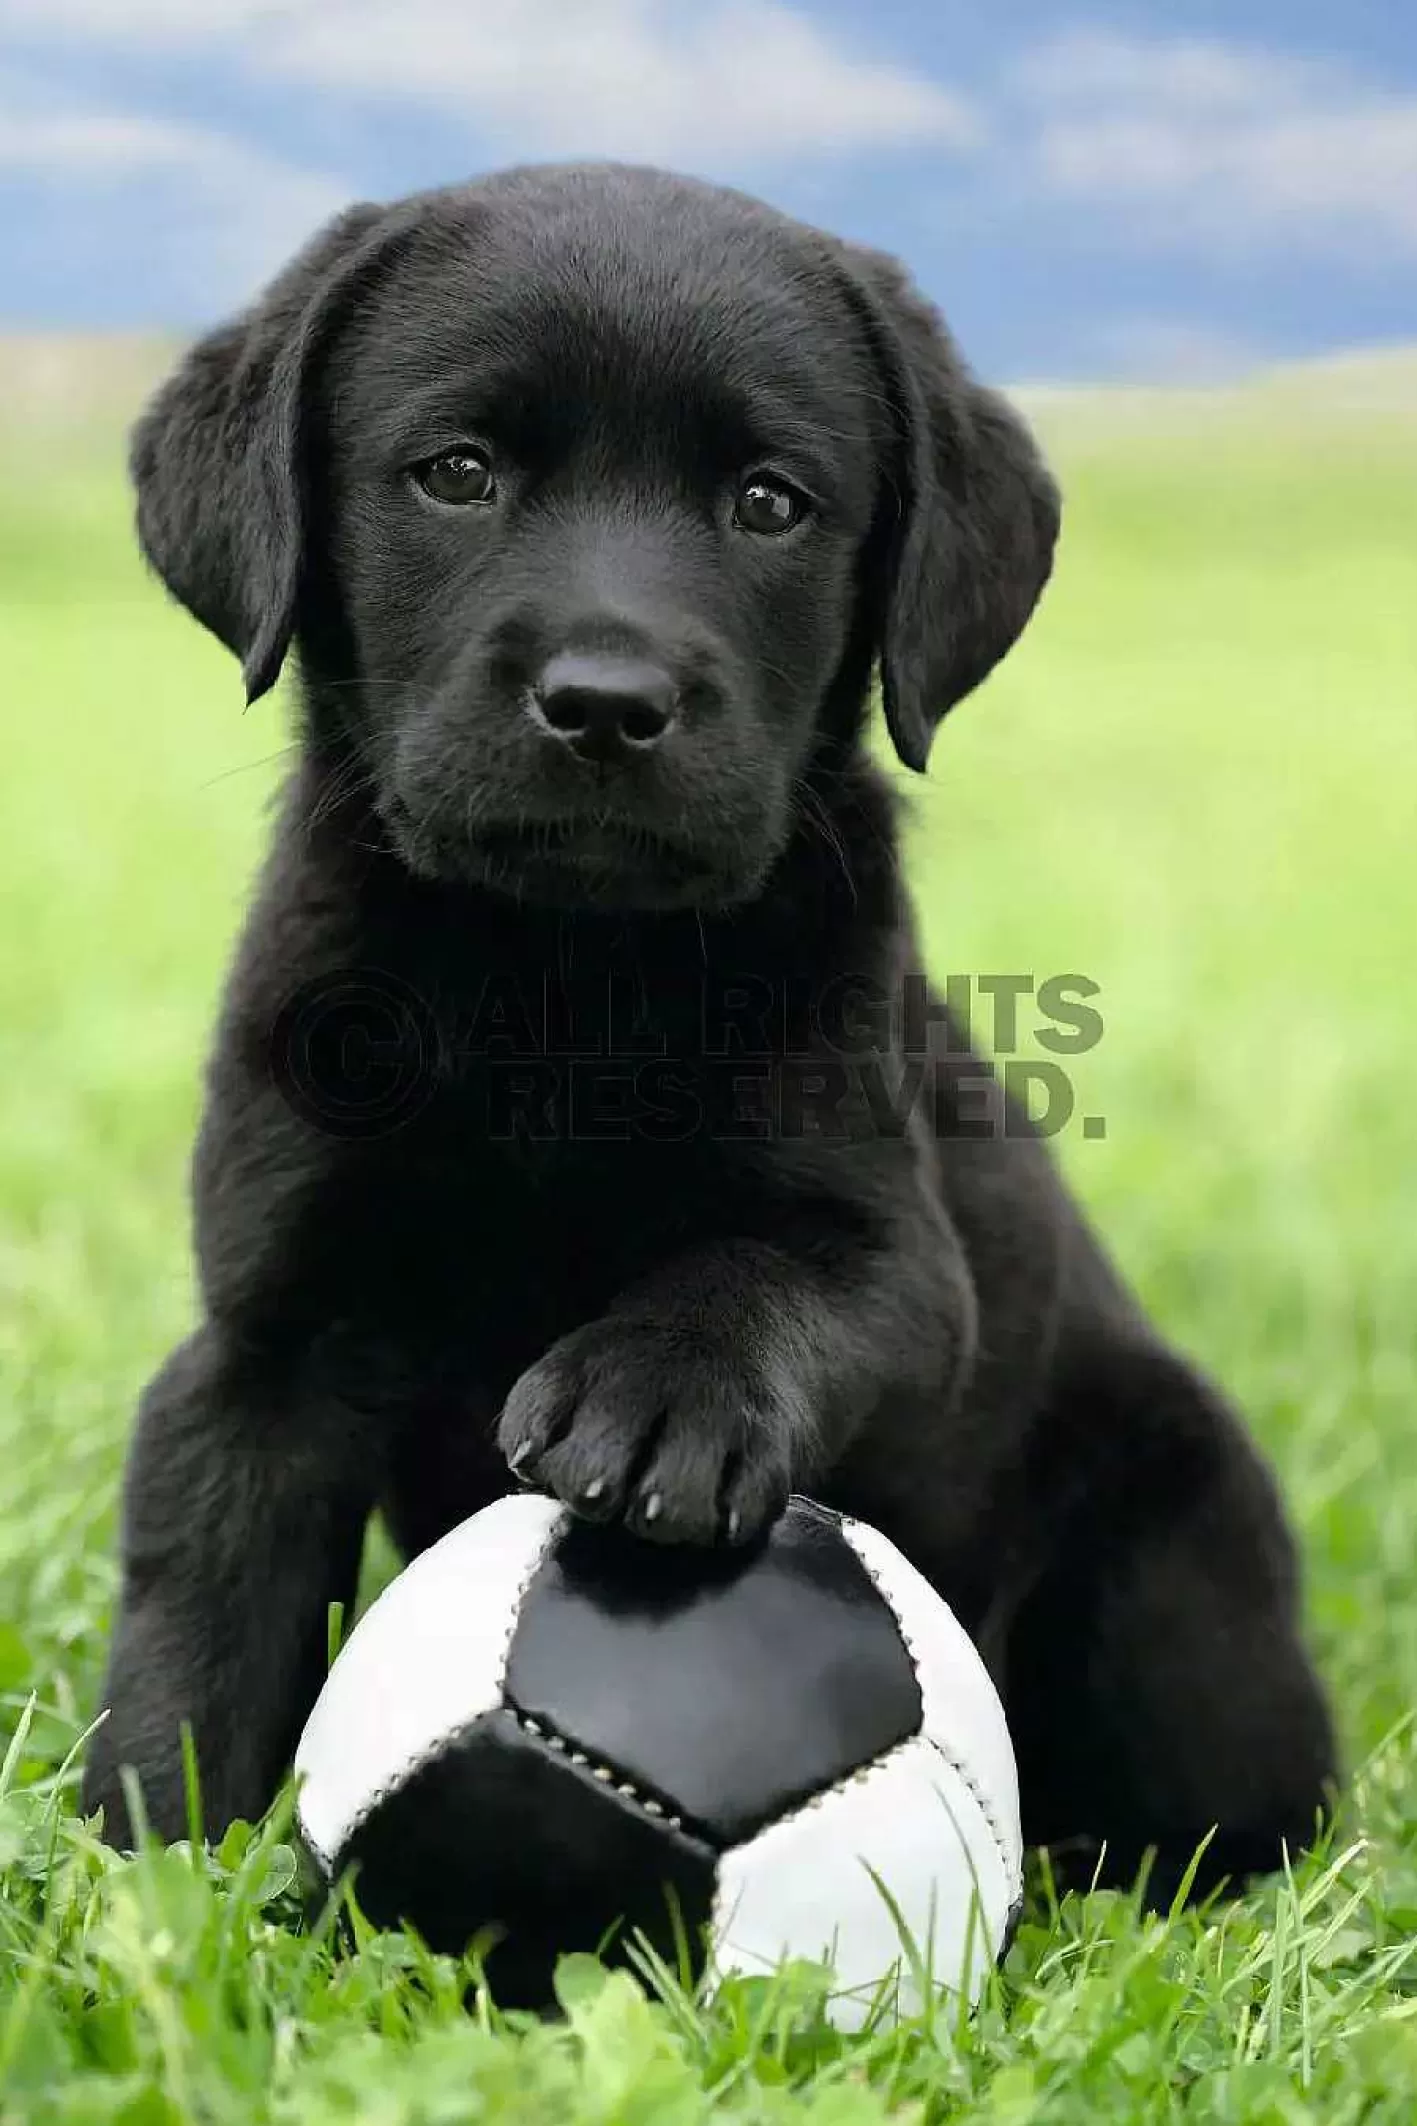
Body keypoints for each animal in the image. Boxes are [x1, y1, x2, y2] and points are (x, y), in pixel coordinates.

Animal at [83, 161, 1334, 1896]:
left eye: (769, 503)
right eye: (456, 472)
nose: (608, 700)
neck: (554, 972)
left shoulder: (905, 1264)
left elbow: (768, 1269)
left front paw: (658, 1390)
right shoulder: (269, 1334)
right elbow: (200, 1618)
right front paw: (142, 1873)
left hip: (1177, 1536)